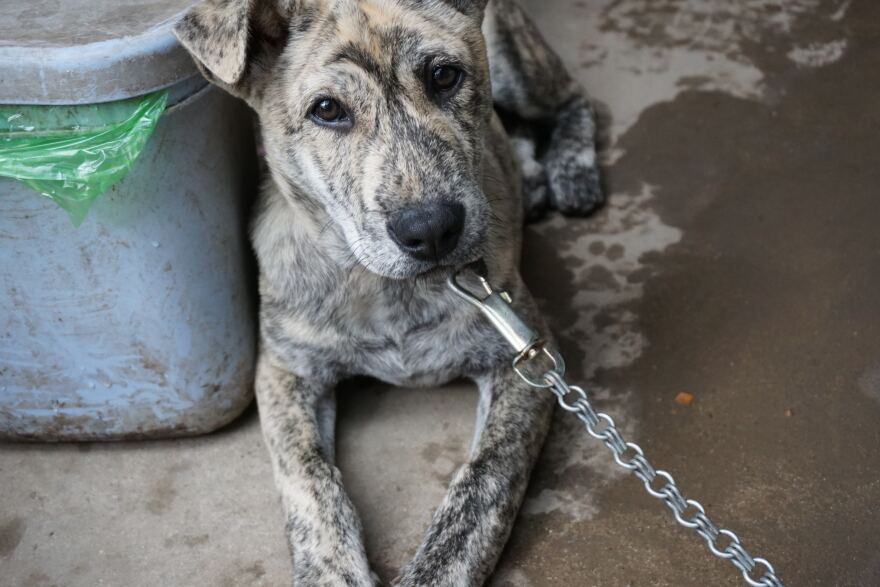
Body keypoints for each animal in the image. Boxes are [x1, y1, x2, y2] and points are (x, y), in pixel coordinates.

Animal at [175, 1, 600, 584]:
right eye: (327, 110)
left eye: (444, 76)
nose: (432, 229)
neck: (387, 288)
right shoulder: (285, 369)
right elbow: (308, 475)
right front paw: (332, 569)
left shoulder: (528, 361)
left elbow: (484, 480)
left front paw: (436, 569)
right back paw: (531, 178)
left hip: (519, 66)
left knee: (573, 100)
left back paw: (571, 170)